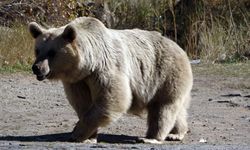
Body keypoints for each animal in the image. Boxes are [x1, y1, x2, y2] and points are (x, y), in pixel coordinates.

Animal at [28, 16, 193, 144]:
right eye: (38, 50)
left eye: (52, 52)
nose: (37, 68)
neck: (88, 64)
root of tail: (179, 47)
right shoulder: (78, 81)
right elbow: (82, 103)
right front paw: (89, 136)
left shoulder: (105, 68)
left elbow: (113, 98)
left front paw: (76, 133)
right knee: (177, 109)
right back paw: (176, 133)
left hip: (164, 74)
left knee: (163, 107)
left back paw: (151, 137)